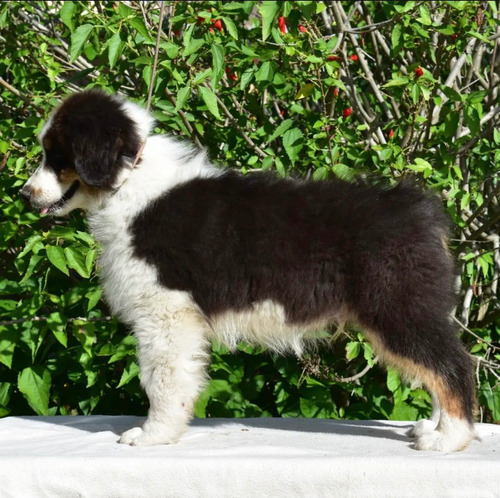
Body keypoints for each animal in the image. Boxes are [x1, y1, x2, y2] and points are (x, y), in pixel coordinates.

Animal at [21, 89, 476, 452]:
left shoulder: (165, 311)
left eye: (57, 156)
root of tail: (422, 210)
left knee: (452, 365)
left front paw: (151, 435)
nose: (24, 194)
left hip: (397, 307)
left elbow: (162, 379)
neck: (130, 178)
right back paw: (433, 429)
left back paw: (449, 439)